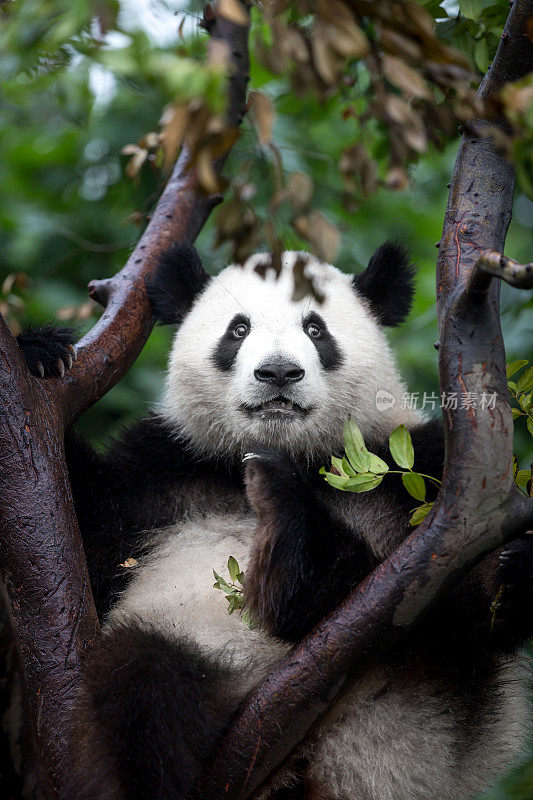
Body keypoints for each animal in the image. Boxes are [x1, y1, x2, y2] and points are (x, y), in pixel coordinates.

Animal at [16, 244, 532, 800]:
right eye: (238, 329)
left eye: (316, 329)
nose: (279, 373)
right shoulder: (166, 472)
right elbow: (91, 540)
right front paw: (40, 352)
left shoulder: (411, 473)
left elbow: (439, 596)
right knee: (143, 696)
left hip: (409, 725)